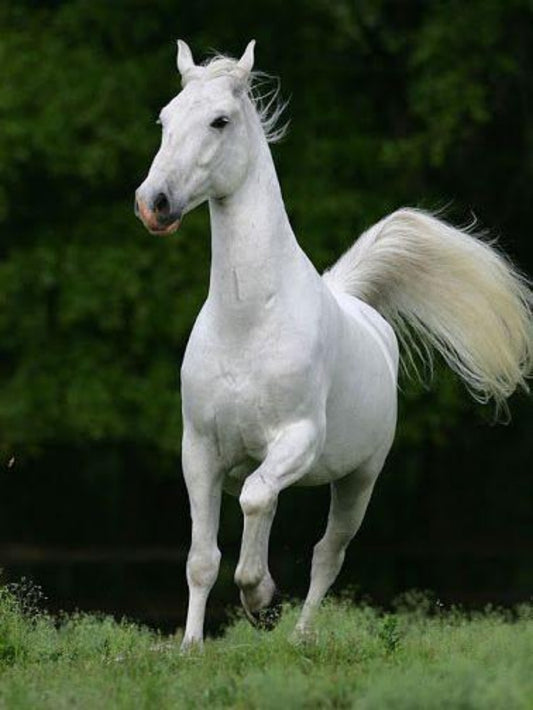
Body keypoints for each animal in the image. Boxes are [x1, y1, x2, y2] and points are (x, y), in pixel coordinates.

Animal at [135, 40, 533, 651]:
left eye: (220, 121)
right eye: (165, 119)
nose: (153, 203)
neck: (248, 322)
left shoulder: (297, 438)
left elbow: (257, 504)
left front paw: (259, 598)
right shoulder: (199, 450)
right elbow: (203, 557)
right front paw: (191, 647)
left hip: (358, 481)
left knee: (328, 554)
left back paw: (298, 635)